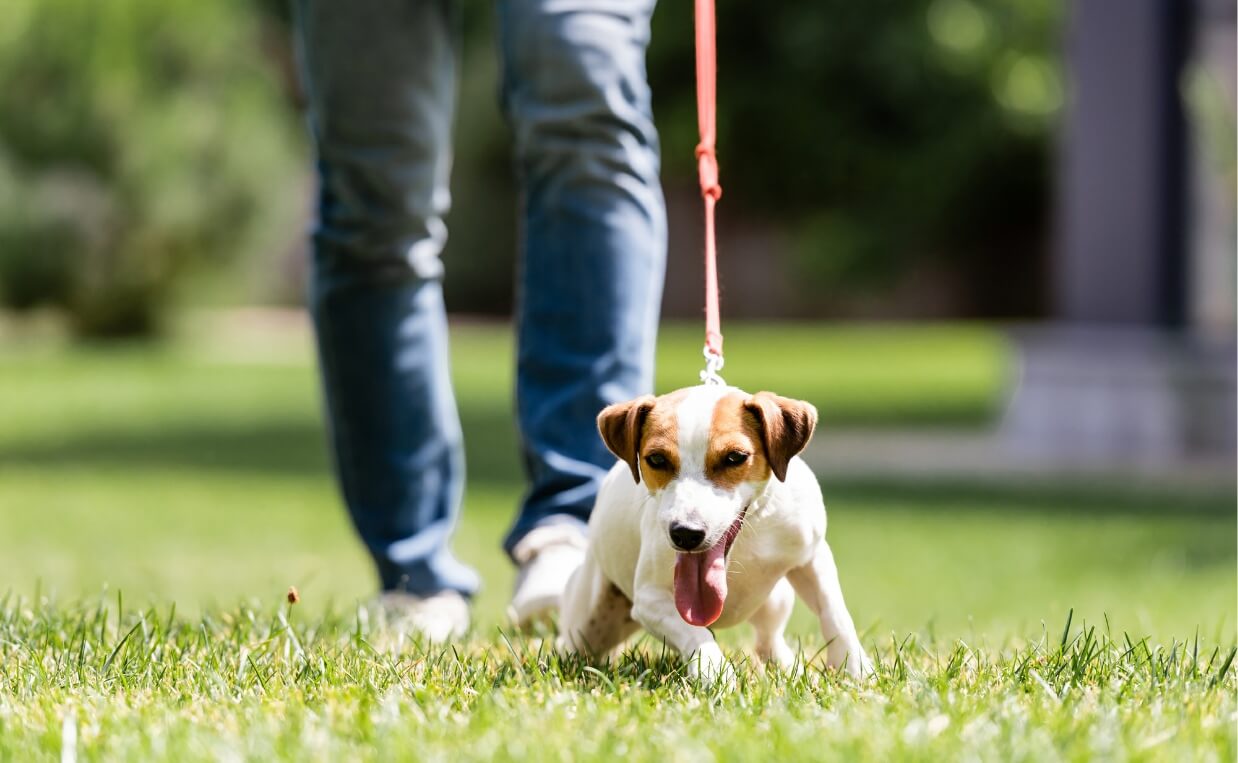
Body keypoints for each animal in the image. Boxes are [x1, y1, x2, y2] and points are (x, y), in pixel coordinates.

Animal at [562, 383, 871, 683]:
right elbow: (692, 631)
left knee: (768, 640)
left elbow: (835, 612)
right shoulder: (650, 599)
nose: (686, 534)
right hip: (586, 623)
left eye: (735, 457)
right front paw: (712, 670)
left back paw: (785, 665)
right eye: (657, 459)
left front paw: (854, 665)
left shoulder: (812, 555)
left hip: (777, 599)